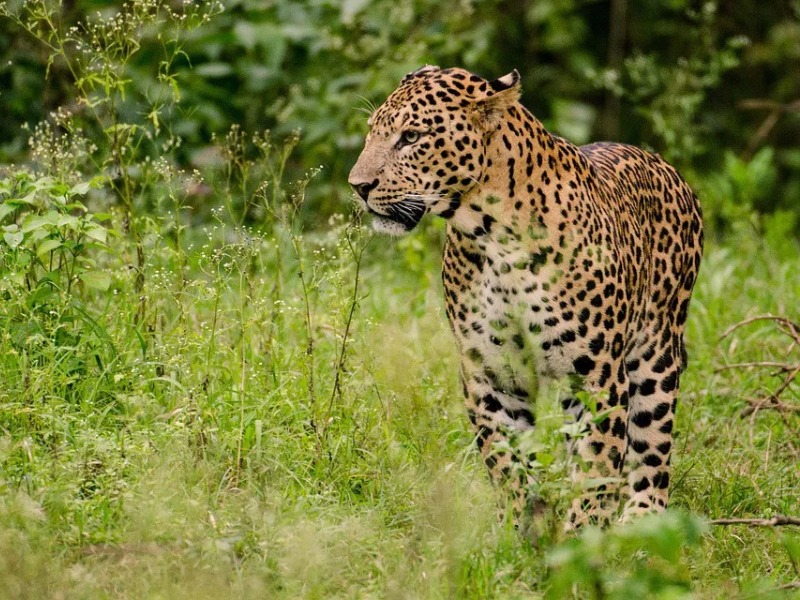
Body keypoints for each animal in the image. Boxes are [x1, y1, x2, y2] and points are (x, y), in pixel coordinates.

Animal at [346, 65, 704, 528]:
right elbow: (508, 462)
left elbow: (596, 468)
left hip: (655, 356)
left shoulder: (598, 377)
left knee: (652, 452)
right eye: (372, 132)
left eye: (411, 137)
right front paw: (519, 530)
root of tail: (667, 167)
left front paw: (580, 536)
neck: (492, 236)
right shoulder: (491, 374)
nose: (358, 186)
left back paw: (641, 521)